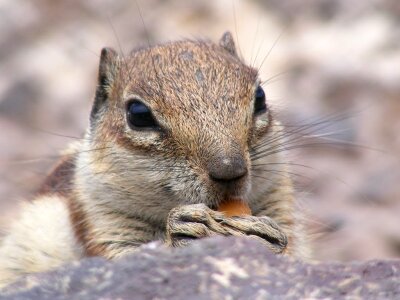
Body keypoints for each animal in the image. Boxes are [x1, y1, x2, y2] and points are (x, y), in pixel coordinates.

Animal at [0, 31, 310, 288]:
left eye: (260, 97)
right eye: (138, 114)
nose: (230, 170)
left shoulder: (279, 198)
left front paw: (268, 239)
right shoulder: (99, 218)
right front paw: (181, 233)